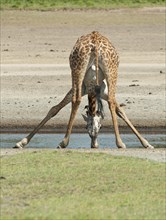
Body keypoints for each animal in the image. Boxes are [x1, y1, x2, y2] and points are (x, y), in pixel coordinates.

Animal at [14, 31, 154, 150]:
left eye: (101, 127)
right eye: (86, 127)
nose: (94, 145)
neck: (93, 90)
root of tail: (95, 41)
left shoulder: (90, 89)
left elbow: (119, 110)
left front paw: (146, 143)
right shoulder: (95, 90)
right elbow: (54, 109)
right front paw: (21, 142)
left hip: (81, 70)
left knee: (78, 100)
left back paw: (65, 142)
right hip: (106, 70)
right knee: (105, 102)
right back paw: (118, 143)